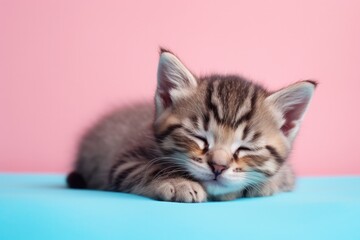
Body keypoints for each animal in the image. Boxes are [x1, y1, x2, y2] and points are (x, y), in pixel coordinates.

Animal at [67, 48, 316, 202]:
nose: (218, 167)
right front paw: (178, 182)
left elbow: (280, 176)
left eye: (246, 148)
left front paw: (266, 183)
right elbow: (149, 168)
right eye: (199, 137)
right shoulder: (124, 162)